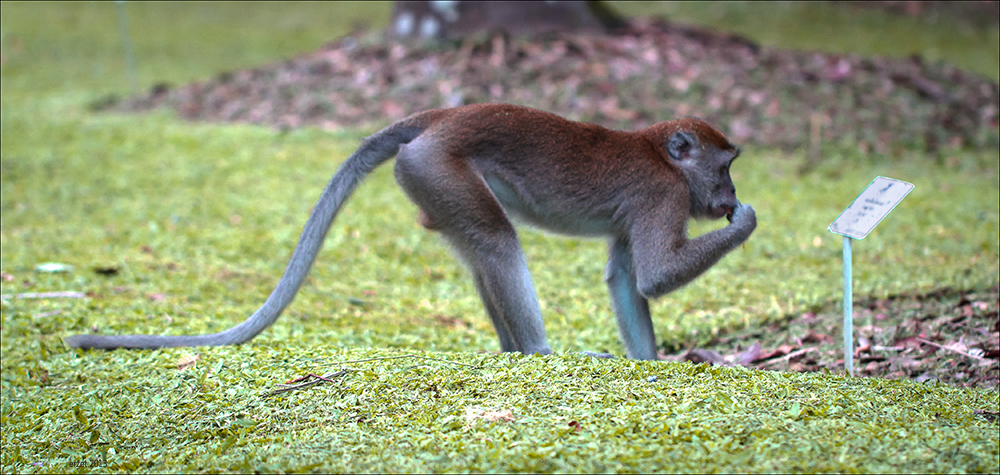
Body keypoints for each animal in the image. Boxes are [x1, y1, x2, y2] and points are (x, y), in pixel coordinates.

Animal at [64, 103, 756, 360]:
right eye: (726, 167)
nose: (730, 196)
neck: (662, 156)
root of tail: (444, 115)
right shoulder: (662, 194)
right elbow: (654, 276)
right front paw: (748, 221)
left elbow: (624, 278)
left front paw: (649, 364)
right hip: (435, 167)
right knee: (499, 241)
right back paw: (538, 353)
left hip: (431, 182)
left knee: (481, 247)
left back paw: (512, 350)